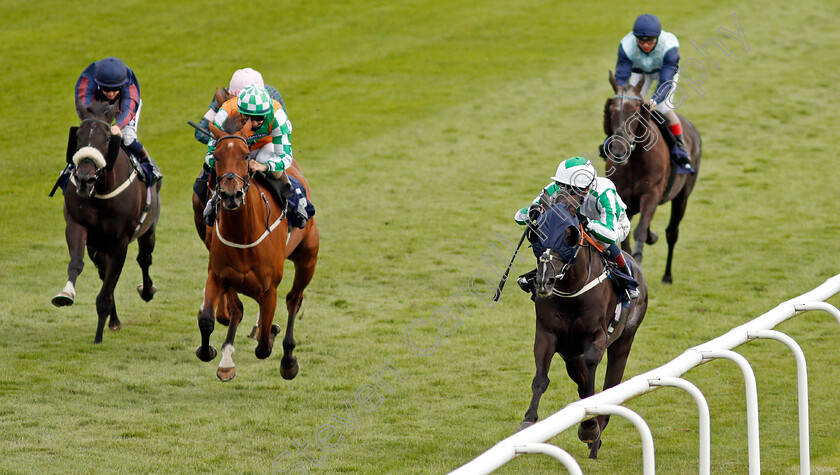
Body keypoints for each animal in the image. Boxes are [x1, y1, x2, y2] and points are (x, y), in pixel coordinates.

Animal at [51, 100, 162, 344]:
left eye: (107, 138)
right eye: (78, 136)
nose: (84, 179)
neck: (101, 192)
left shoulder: (120, 243)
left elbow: (108, 289)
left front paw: (98, 337)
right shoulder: (77, 226)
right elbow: (77, 264)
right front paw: (65, 294)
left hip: (148, 230)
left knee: (144, 259)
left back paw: (147, 291)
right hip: (97, 247)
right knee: (104, 275)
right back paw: (114, 319)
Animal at [195, 113, 320, 382]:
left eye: (245, 156)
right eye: (216, 156)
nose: (231, 195)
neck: (243, 234)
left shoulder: (269, 289)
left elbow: (263, 345)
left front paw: (273, 335)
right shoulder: (219, 275)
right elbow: (209, 319)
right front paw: (211, 352)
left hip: (308, 259)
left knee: (294, 300)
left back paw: (288, 359)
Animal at [520, 202, 648, 462]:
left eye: (568, 238)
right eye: (536, 236)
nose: (544, 281)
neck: (571, 290)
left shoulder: (597, 337)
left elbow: (594, 382)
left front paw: (589, 427)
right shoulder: (547, 334)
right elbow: (541, 378)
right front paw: (529, 420)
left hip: (624, 341)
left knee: (611, 386)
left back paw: (596, 437)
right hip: (570, 356)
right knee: (581, 380)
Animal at [604, 70, 704, 282]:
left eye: (635, 111)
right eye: (613, 110)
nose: (619, 151)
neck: (634, 161)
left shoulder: (651, 194)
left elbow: (640, 231)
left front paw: (638, 261)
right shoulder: (624, 197)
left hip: (682, 197)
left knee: (672, 232)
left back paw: (667, 275)